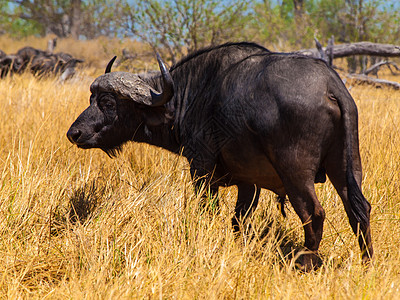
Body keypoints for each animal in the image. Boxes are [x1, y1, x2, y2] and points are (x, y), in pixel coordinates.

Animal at [67, 42, 374, 270]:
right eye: (91, 99)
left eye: (108, 103)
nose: (74, 133)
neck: (190, 95)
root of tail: (331, 85)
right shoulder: (249, 183)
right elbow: (238, 220)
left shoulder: (201, 167)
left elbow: (208, 209)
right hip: (346, 168)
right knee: (358, 209)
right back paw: (366, 261)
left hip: (296, 174)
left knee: (314, 213)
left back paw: (305, 262)